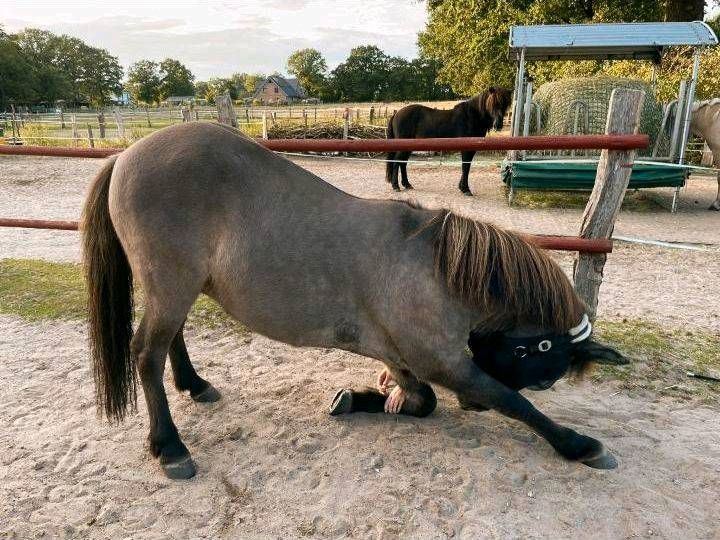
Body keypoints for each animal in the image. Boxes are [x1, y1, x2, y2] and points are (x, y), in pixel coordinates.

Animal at [83, 123, 624, 480]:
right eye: (547, 370)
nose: (471, 407)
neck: (434, 266)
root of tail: (127, 154)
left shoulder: (396, 353)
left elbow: (422, 402)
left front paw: (363, 399)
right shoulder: (445, 363)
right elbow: (511, 402)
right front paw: (580, 444)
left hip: (177, 288)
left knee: (169, 341)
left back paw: (195, 386)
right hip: (171, 284)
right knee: (146, 354)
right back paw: (170, 446)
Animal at [386, 88, 516, 196]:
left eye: (505, 104)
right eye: (492, 103)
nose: (498, 125)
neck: (471, 117)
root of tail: (396, 114)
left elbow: (466, 167)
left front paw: (461, 187)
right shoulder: (466, 150)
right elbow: (465, 167)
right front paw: (466, 189)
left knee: (402, 163)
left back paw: (407, 184)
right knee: (397, 162)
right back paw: (396, 186)